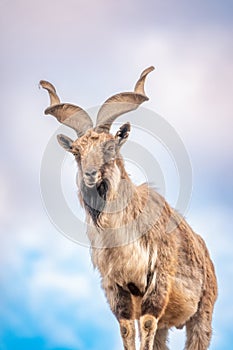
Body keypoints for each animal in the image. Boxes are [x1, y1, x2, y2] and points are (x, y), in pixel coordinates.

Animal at [40, 66, 217, 350]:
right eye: (76, 151)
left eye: (110, 146)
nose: (90, 175)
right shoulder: (117, 288)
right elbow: (126, 329)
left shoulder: (157, 283)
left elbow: (145, 324)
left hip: (203, 313)